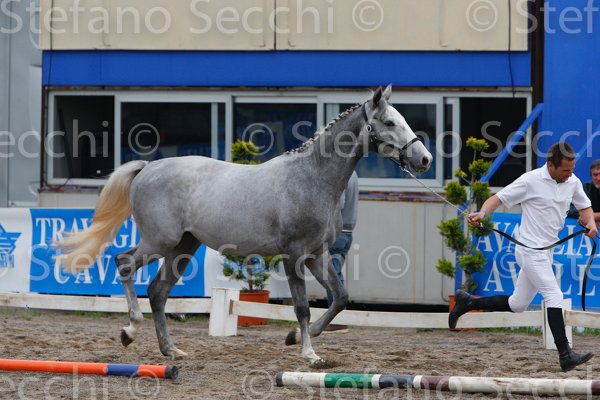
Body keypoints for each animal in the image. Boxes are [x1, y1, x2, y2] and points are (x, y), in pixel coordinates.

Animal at [57, 85, 432, 366]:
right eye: (389, 122)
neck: (311, 178)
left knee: (158, 291)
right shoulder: (294, 255)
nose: (424, 159)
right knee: (125, 264)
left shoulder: (318, 255)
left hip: (183, 247)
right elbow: (301, 307)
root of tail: (148, 168)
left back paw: (171, 350)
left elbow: (340, 298)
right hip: (160, 241)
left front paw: (293, 338)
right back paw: (130, 331)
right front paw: (309, 354)